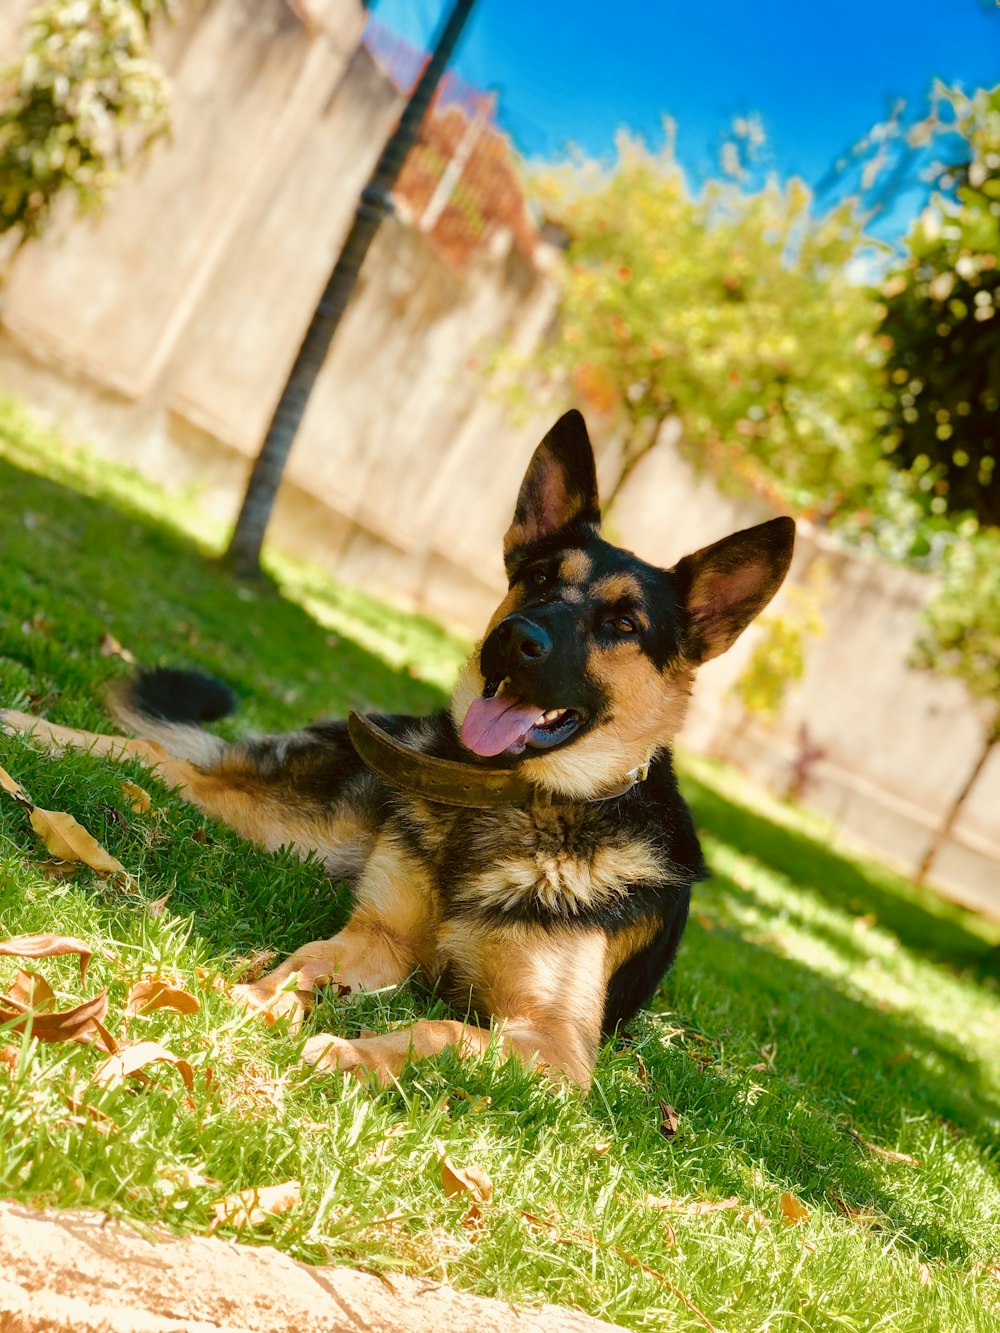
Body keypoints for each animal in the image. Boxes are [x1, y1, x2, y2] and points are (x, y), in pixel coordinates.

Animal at [3, 413, 794, 1093]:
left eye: (624, 623)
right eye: (539, 578)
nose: (516, 639)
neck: (506, 805)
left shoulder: (551, 1043)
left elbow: (439, 1030)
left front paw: (349, 1052)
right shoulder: (378, 936)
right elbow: (307, 960)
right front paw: (261, 995)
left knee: (166, 764)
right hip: (297, 822)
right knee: (156, 753)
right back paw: (25, 727)